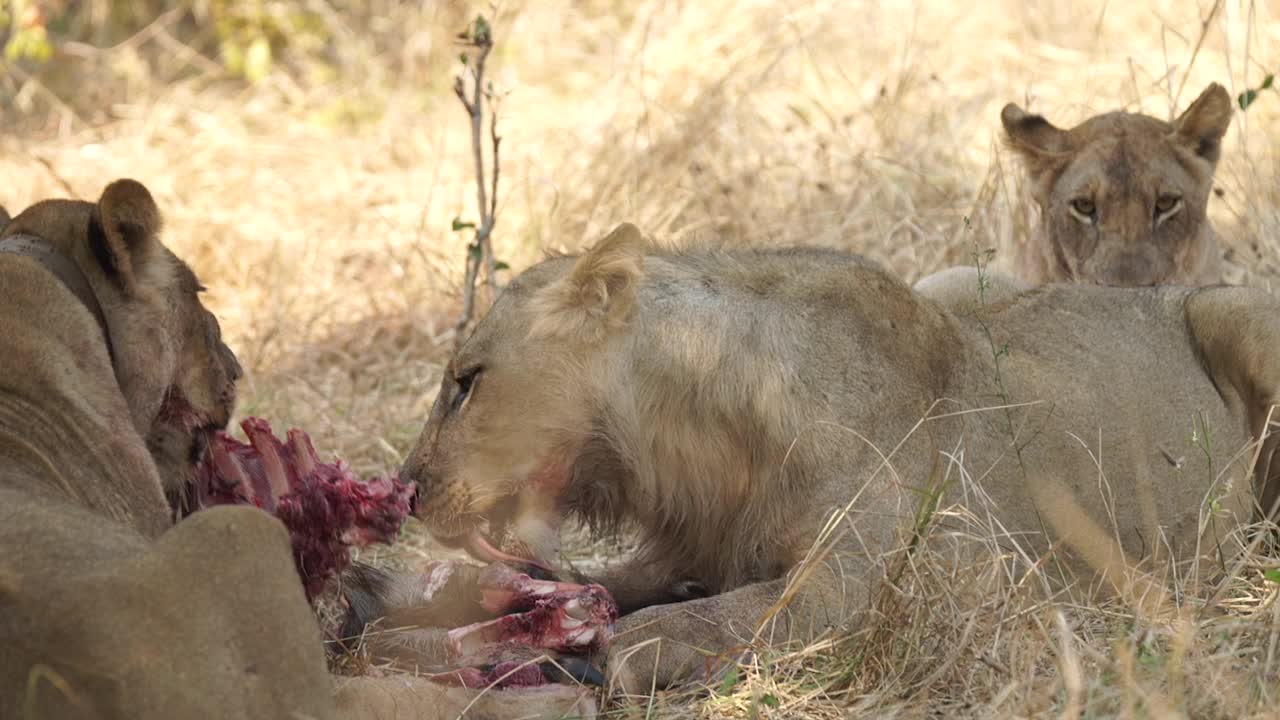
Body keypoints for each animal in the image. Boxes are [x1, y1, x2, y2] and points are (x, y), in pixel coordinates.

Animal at [386, 225, 1280, 696]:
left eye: (466, 382)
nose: (409, 492)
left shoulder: (900, 587)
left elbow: (724, 617)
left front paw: (617, 648)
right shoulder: (688, 549)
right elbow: (614, 584)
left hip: (1241, 318)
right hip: (961, 279)